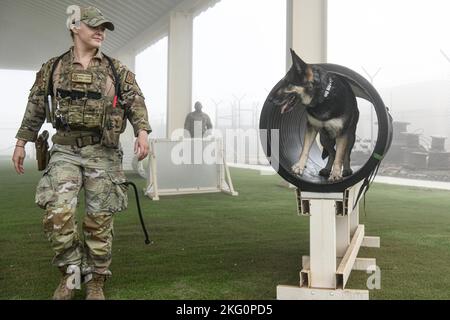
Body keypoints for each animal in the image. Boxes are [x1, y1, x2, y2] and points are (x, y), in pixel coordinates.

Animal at [270, 49, 358, 180]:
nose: (269, 100)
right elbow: (305, 149)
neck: (323, 98)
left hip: (350, 136)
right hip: (324, 138)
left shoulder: (342, 134)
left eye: (287, 83)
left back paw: (346, 170)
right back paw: (327, 169)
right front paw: (299, 166)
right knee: (332, 153)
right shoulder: (311, 128)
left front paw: (336, 174)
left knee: (345, 154)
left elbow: (340, 155)